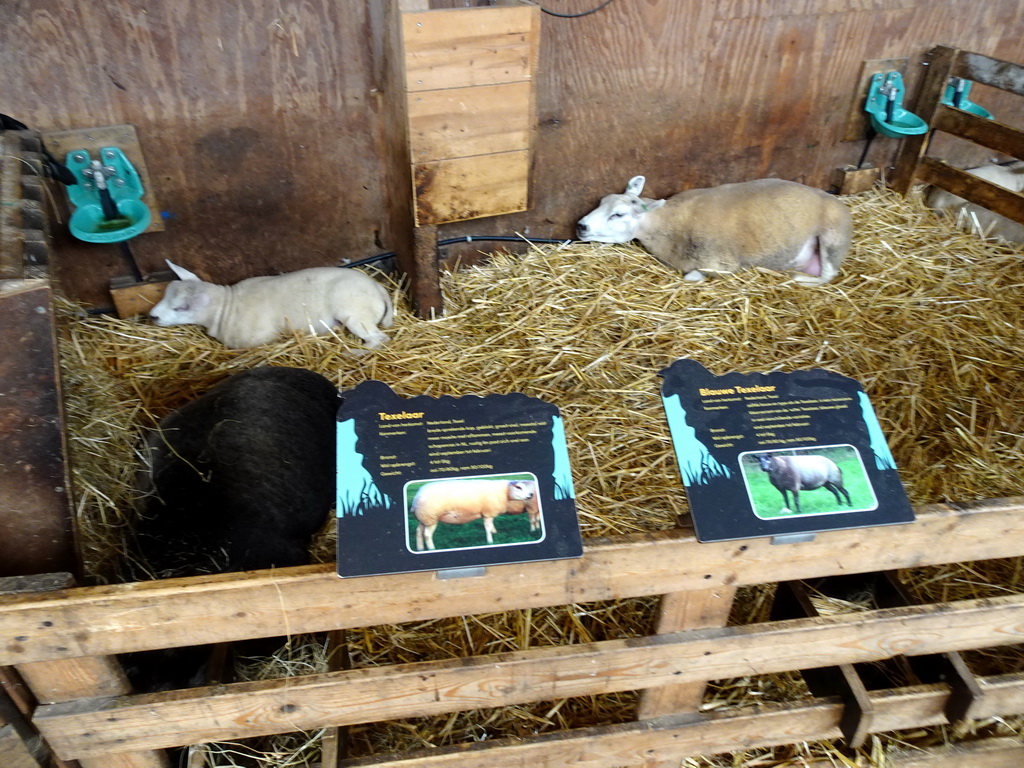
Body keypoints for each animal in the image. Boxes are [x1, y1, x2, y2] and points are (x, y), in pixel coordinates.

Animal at [149, 262, 393, 352]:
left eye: (181, 308)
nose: (153, 317)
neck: (227, 307)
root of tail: (378, 288)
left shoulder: (258, 338)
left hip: (355, 313)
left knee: (379, 339)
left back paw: (356, 351)